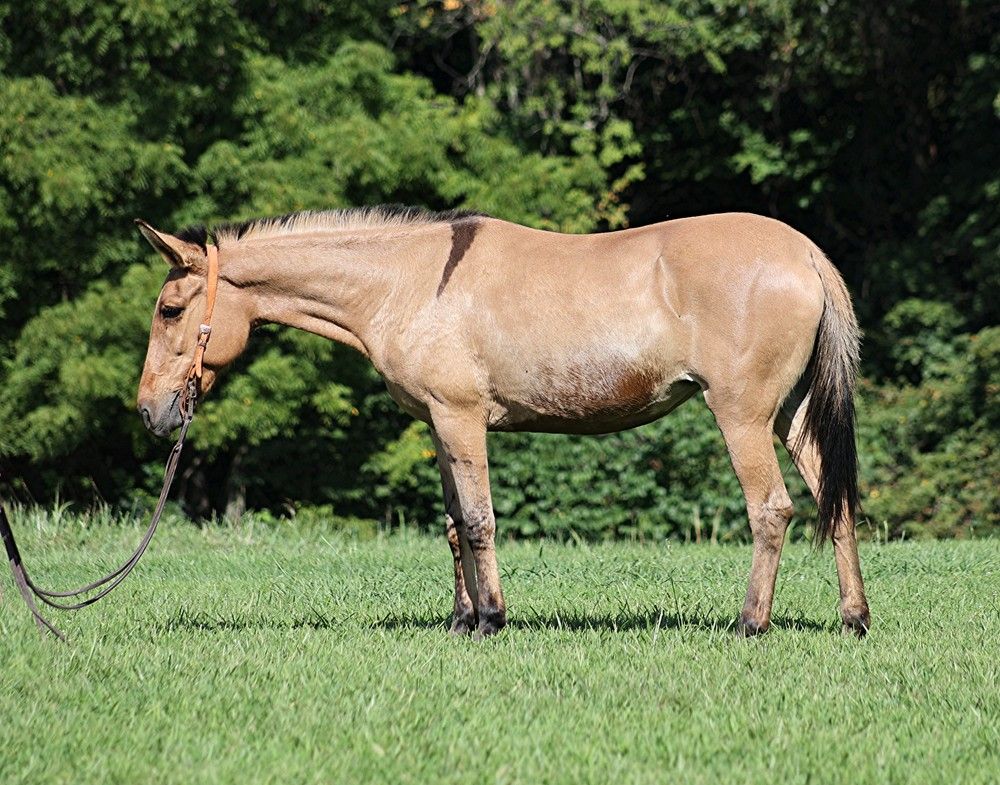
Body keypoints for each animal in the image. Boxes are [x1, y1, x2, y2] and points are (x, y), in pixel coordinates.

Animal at [135, 206, 870, 639]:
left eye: (170, 309)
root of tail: (804, 252)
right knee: (835, 503)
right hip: (793, 416)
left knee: (772, 509)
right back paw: (854, 619)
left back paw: (751, 623)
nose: (149, 411)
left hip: (742, 415)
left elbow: (481, 520)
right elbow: (454, 523)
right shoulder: (437, 426)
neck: (409, 282)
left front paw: (491, 618)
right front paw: (462, 619)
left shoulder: (462, 419)